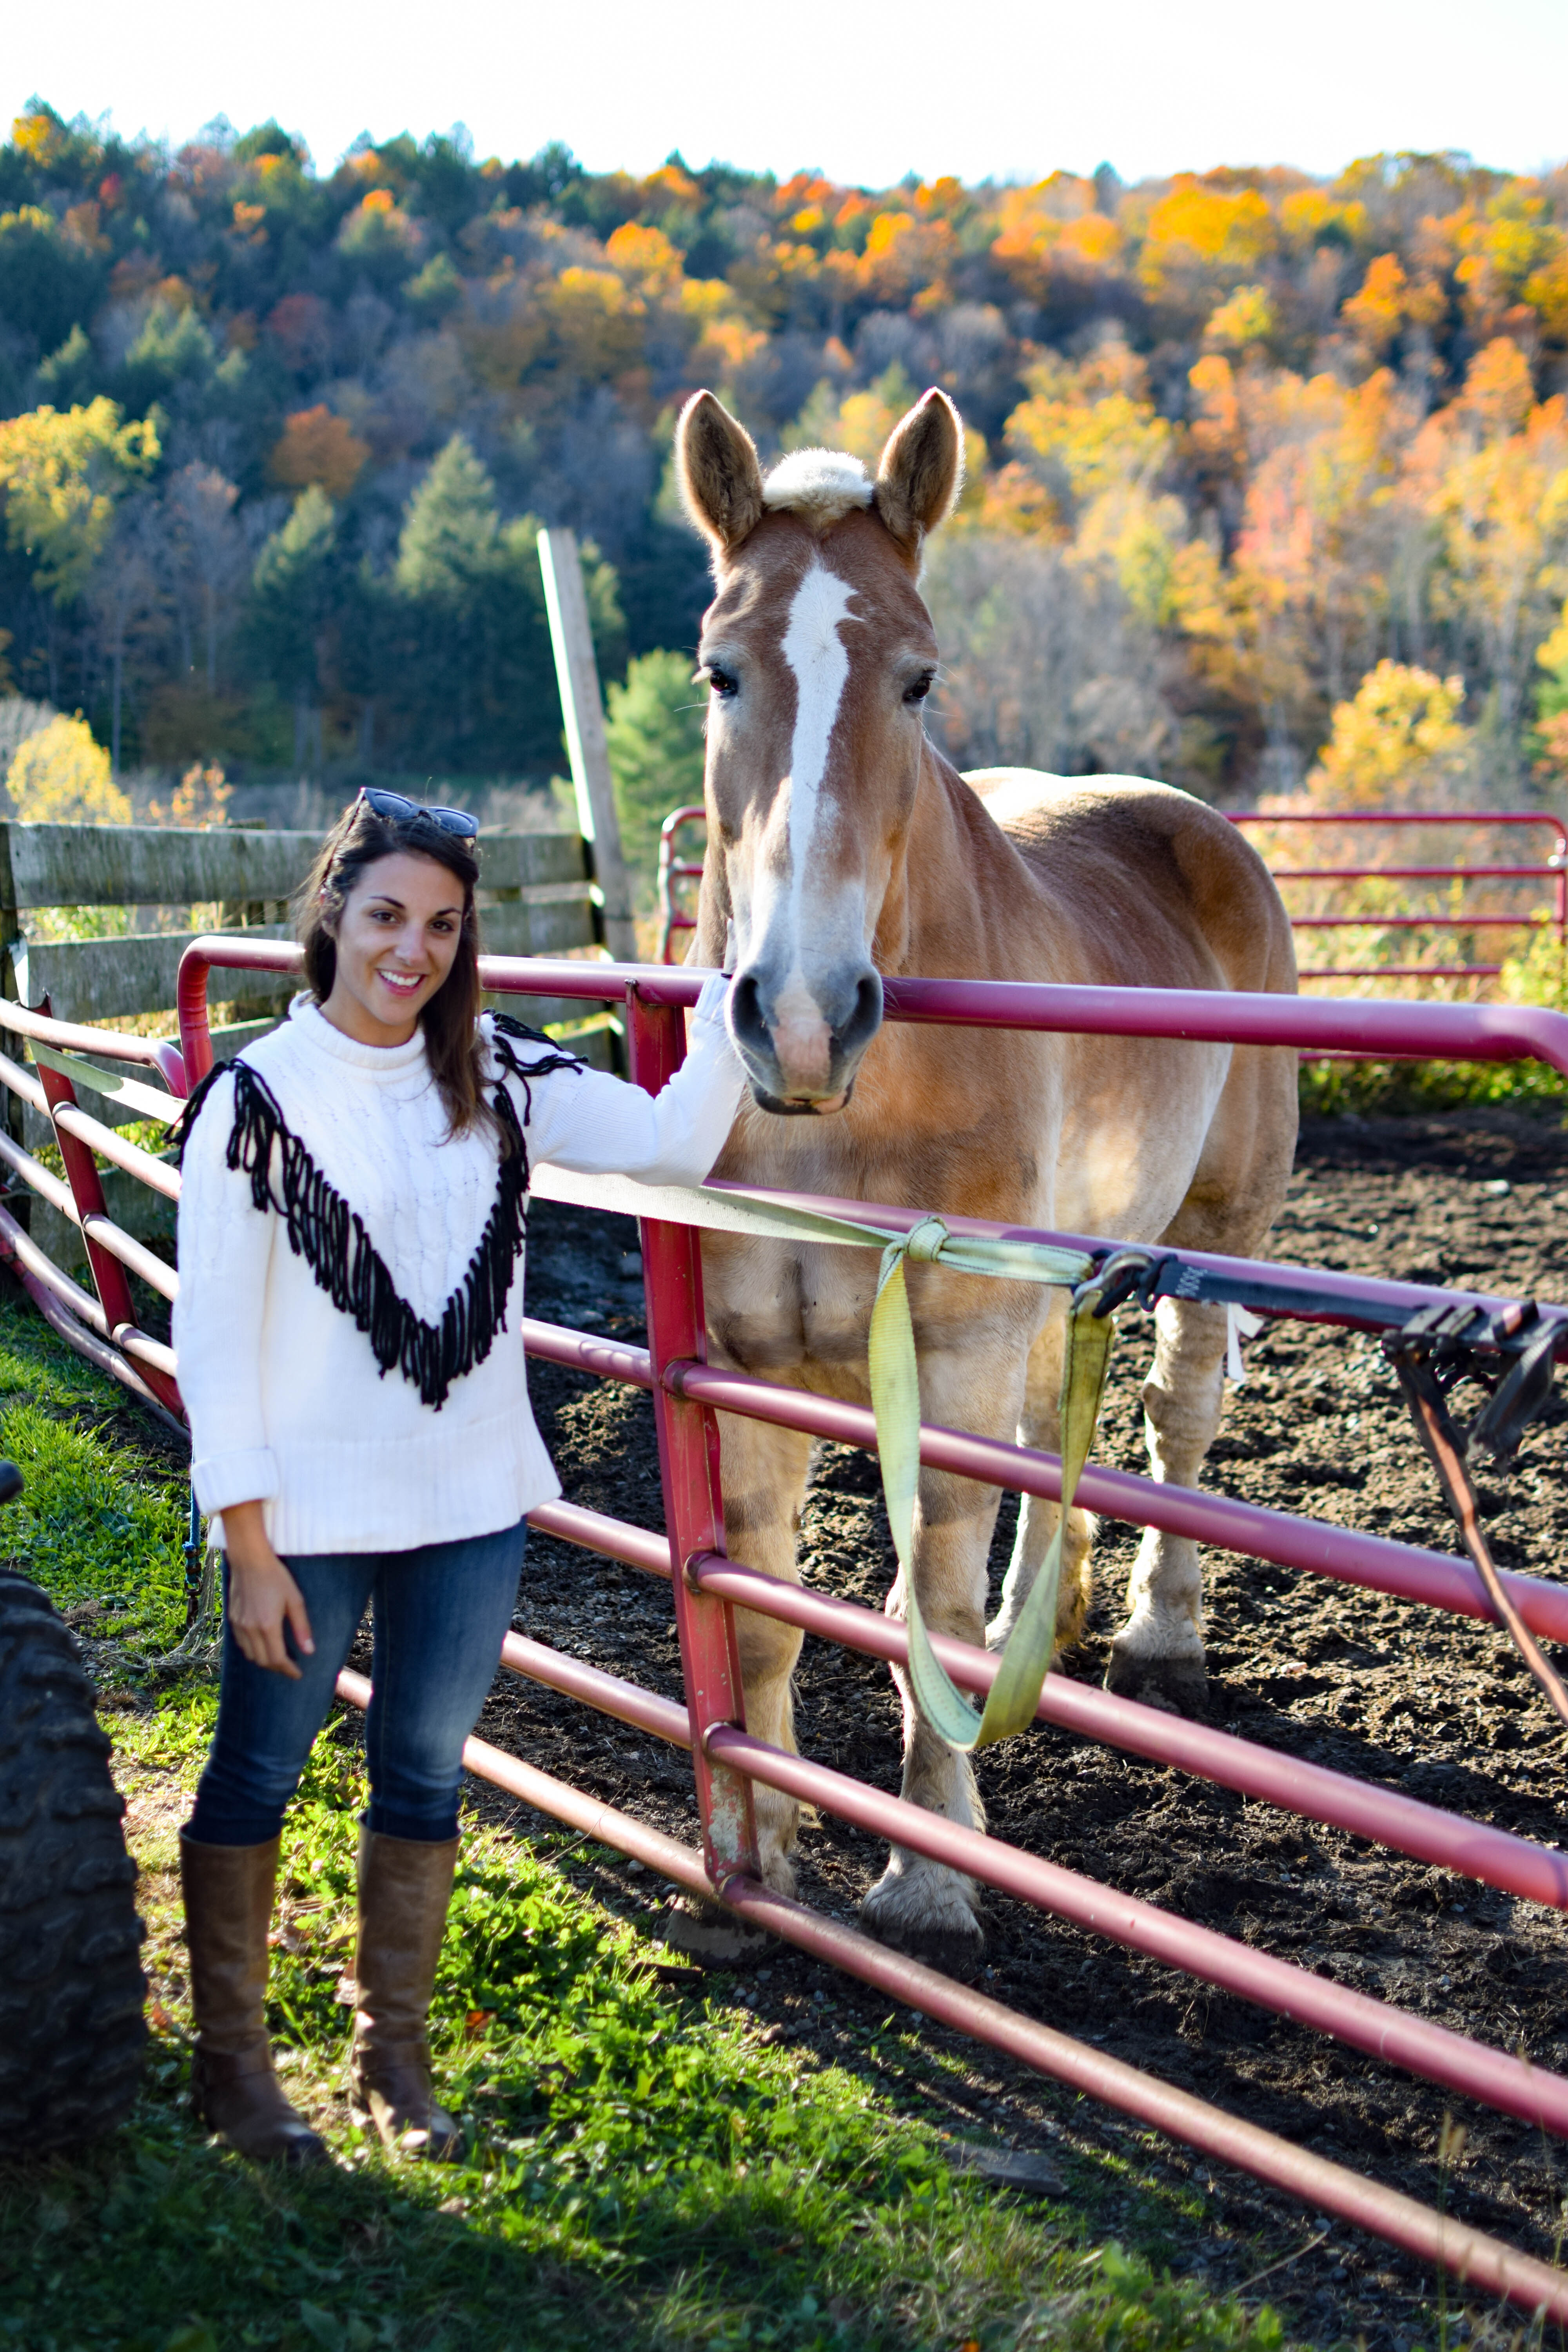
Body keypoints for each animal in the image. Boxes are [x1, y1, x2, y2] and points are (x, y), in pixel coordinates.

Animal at [677, 386, 1298, 1966]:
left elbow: (929, 1605)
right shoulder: (741, 1365)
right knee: (1048, 1431)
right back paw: (1052, 1627)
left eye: (917, 680)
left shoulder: (943, 1352)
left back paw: (1155, 1638)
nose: (801, 1014)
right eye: (719, 669)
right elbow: (762, 1609)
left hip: (1217, 1225)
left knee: (1175, 1416)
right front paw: (762, 1847)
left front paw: (928, 1878)